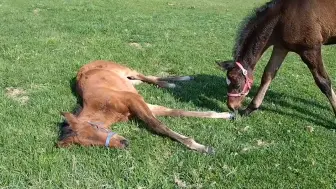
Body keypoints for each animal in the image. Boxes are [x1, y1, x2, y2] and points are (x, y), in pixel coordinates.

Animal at [58, 60, 234, 154]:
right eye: (91, 144)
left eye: (96, 127)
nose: (124, 143)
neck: (101, 104)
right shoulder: (144, 105)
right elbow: (177, 112)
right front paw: (225, 115)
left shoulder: (135, 100)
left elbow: (158, 125)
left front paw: (202, 147)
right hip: (130, 80)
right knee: (145, 79)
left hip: (127, 70)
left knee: (144, 75)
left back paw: (177, 81)